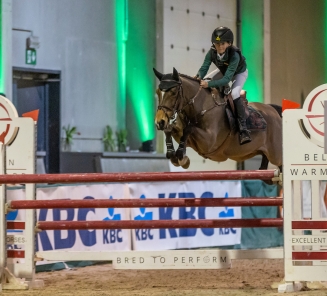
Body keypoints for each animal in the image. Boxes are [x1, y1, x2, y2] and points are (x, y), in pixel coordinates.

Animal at [154, 67, 284, 172]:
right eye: (158, 92)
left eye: (173, 92)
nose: (159, 122)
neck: (198, 107)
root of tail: (274, 111)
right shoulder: (181, 133)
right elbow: (170, 129)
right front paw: (172, 154)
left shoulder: (208, 141)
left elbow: (188, 129)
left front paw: (181, 155)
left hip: (277, 155)